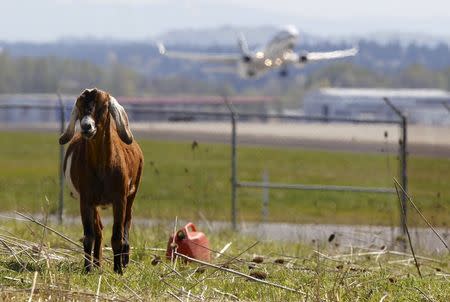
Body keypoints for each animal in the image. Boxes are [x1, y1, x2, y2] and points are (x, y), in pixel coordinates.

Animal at [58, 88, 142, 274]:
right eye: (80, 106)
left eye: (103, 106)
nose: (86, 126)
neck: (102, 168)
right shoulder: (86, 199)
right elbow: (89, 235)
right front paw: (88, 269)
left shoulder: (120, 198)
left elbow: (117, 235)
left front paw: (118, 270)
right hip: (94, 202)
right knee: (99, 230)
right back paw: (97, 263)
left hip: (132, 194)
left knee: (127, 222)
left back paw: (124, 260)